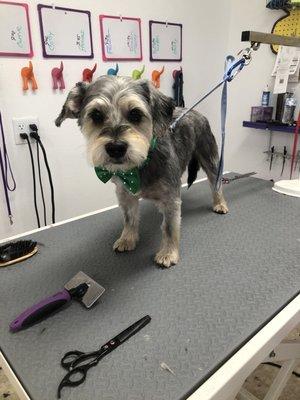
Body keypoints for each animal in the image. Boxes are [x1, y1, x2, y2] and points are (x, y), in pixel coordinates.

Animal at [55, 75, 229, 268]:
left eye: (135, 114)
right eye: (96, 115)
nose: (116, 148)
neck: (140, 164)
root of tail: (197, 112)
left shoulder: (171, 198)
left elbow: (169, 227)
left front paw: (168, 253)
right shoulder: (125, 194)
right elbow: (129, 218)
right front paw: (127, 239)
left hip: (210, 157)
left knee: (216, 183)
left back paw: (220, 203)